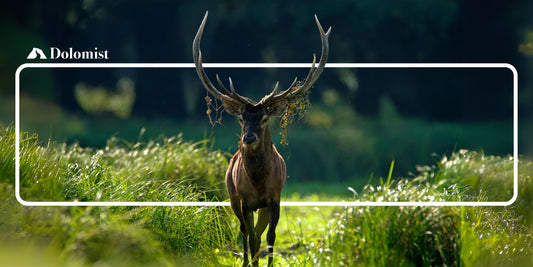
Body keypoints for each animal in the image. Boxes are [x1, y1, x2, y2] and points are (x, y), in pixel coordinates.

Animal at [193, 11, 330, 266]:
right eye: (241, 118)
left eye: (265, 118)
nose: (248, 138)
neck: (257, 180)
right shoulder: (245, 201)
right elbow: (250, 236)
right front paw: (249, 262)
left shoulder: (274, 198)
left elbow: (270, 237)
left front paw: (269, 262)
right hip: (232, 197)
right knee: (245, 233)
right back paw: (247, 260)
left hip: (263, 206)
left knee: (257, 232)